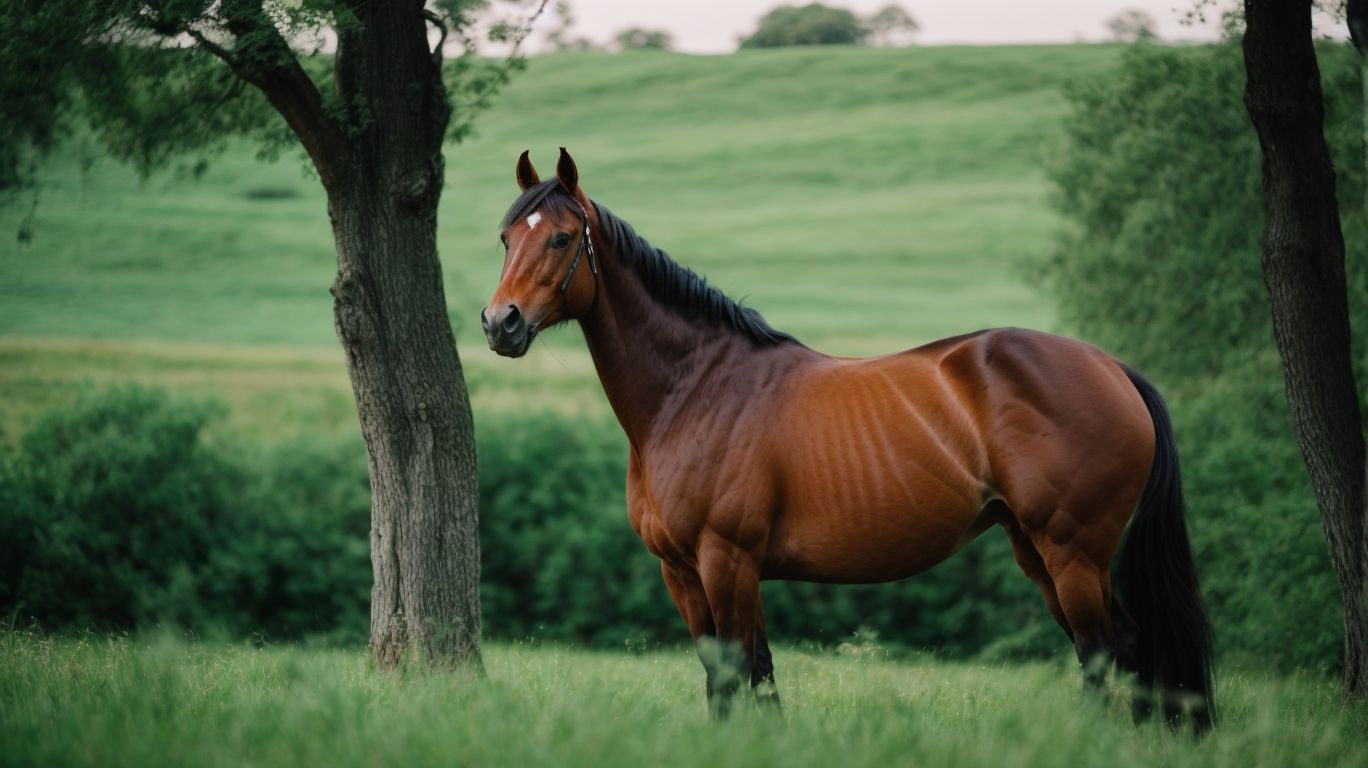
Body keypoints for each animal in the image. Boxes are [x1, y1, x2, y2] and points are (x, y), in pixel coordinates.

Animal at [481, 148, 1215, 730]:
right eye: (506, 236)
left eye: (562, 239)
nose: (499, 324)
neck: (695, 390)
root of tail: (1113, 369)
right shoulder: (684, 571)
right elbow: (746, 675)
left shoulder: (726, 560)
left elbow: (737, 672)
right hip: (1037, 550)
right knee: (1127, 647)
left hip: (1073, 552)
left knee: (1101, 652)